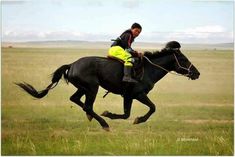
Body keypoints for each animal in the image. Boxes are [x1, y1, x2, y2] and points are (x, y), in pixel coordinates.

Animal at [16, 41, 200, 131]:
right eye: (183, 59)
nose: (196, 73)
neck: (149, 69)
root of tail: (72, 64)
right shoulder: (138, 94)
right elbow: (151, 108)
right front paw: (137, 120)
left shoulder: (128, 96)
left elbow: (126, 114)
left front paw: (116, 115)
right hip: (92, 87)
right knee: (88, 106)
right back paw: (104, 124)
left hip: (84, 88)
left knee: (75, 99)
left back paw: (92, 117)